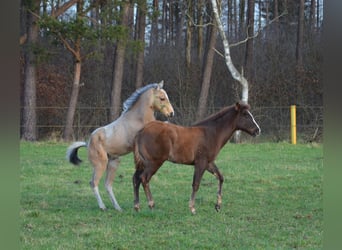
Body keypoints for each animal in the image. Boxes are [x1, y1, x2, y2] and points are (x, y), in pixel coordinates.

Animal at [66, 81, 175, 210]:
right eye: (162, 98)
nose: (171, 113)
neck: (138, 118)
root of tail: (88, 143)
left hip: (113, 163)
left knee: (108, 185)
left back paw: (118, 208)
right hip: (100, 164)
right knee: (94, 183)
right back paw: (103, 207)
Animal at [132, 102, 260, 214]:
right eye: (245, 115)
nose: (258, 130)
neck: (211, 133)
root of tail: (141, 131)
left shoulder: (209, 163)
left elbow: (220, 177)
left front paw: (218, 206)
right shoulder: (201, 163)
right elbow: (196, 184)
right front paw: (192, 208)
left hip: (143, 163)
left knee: (136, 179)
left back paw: (137, 207)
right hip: (154, 162)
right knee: (144, 178)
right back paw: (151, 205)